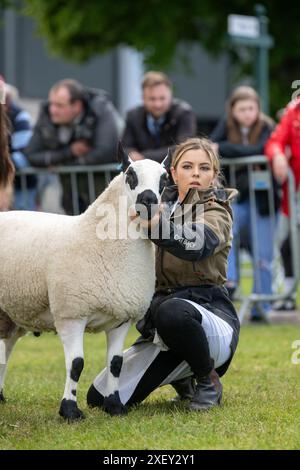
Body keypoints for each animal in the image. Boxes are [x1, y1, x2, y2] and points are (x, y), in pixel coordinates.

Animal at [0, 145, 169, 420]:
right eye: (130, 175)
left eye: (165, 179)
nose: (148, 200)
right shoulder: (71, 314)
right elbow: (76, 364)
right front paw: (69, 410)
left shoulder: (121, 318)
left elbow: (116, 364)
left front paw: (114, 406)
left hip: (13, 311)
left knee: (5, 349)